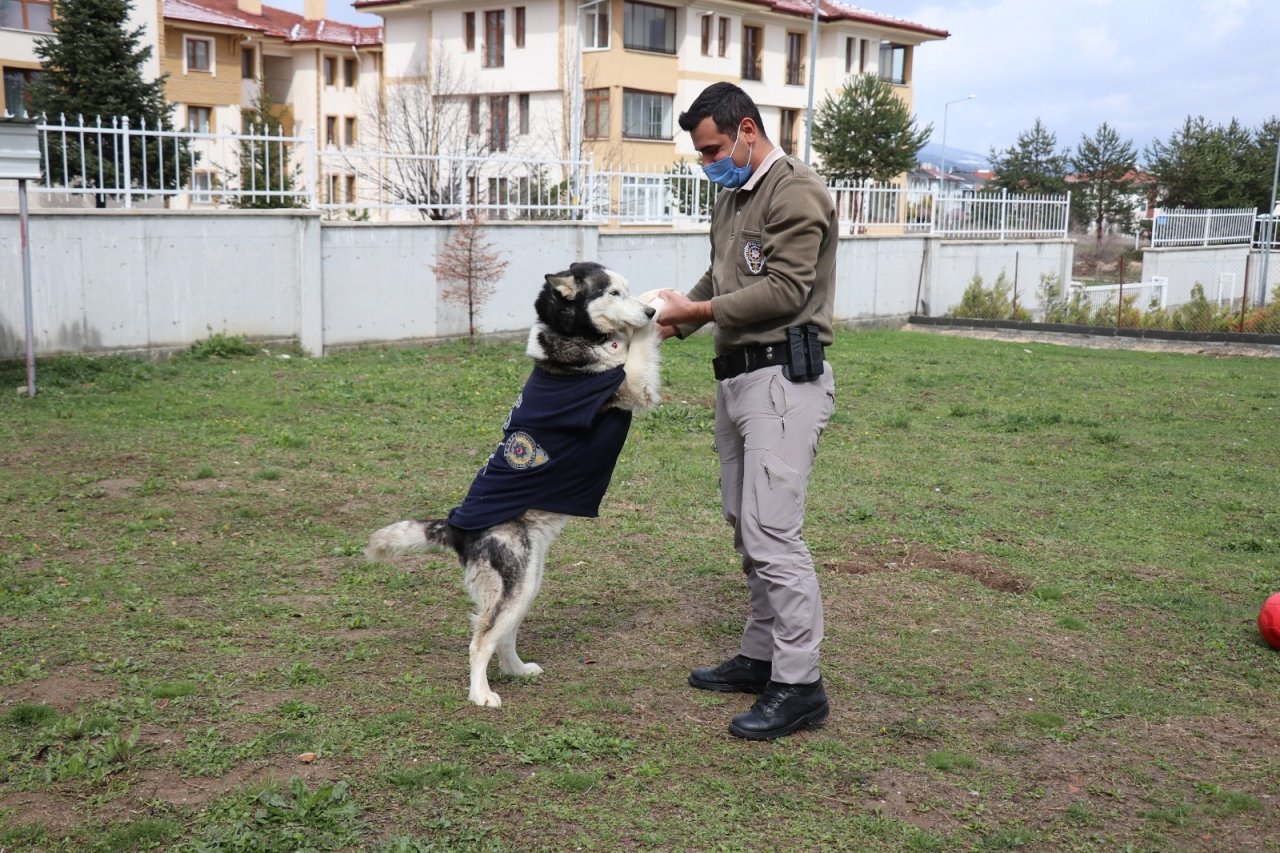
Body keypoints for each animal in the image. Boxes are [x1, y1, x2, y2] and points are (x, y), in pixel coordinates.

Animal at [363, 258, 655, 701]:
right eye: (613, 293)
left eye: (628, 290)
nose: (650, 312)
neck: (573, 338)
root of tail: (456, 527)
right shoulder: (632, 385)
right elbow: (639, 349)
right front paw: (658, 315)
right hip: (516, 583)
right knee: (480, 640)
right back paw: (481, 695)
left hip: (526, 583)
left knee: (500, 636)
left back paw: (517, 670)